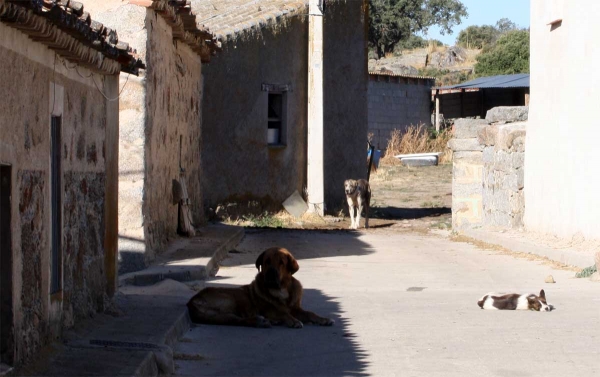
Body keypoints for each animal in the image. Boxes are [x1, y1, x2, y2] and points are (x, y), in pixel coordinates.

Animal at [188, 247, 336, 326]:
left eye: (281, 262)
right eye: (267, 261)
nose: (271, 272)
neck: (281, 290)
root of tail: (191, 302)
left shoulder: (296, 308)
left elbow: (310, 313)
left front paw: (323, 319)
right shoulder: (270, 310)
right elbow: (283, 313)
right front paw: (293, 321)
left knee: (234, 319)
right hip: (234, 298)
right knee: (239, 320)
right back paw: (261, 322)